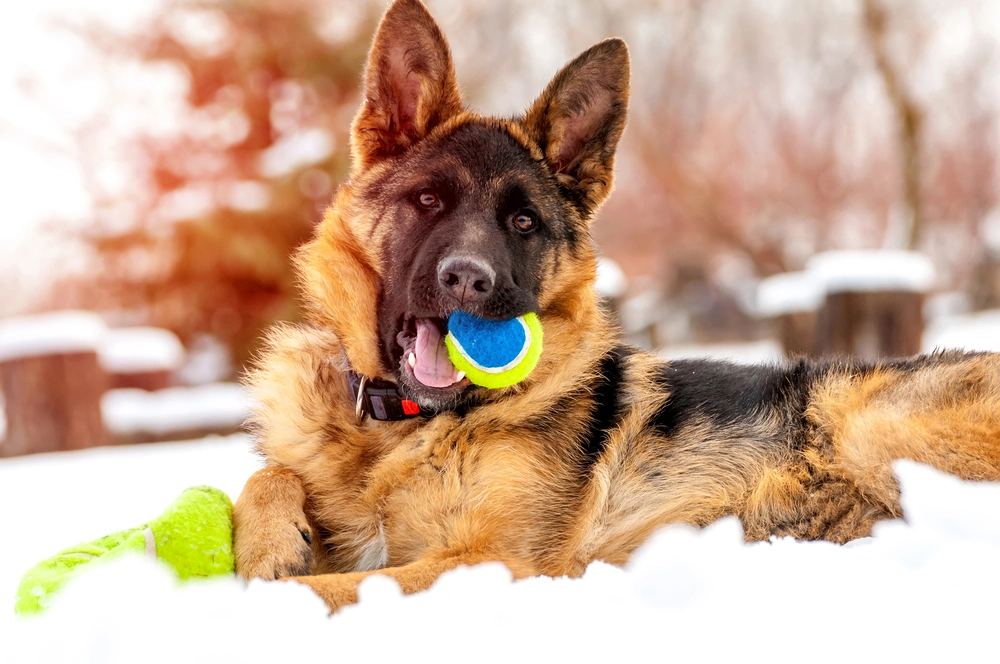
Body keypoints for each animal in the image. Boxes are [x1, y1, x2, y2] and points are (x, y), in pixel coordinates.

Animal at [232, 0, 1000, 612]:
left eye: (523, 223)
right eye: (429, 201)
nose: (469, 281)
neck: (401, 428)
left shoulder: (491, 562)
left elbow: (345, 586)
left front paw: (255, 602)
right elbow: (268, 474)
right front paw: (268, 543)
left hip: (868, 424)